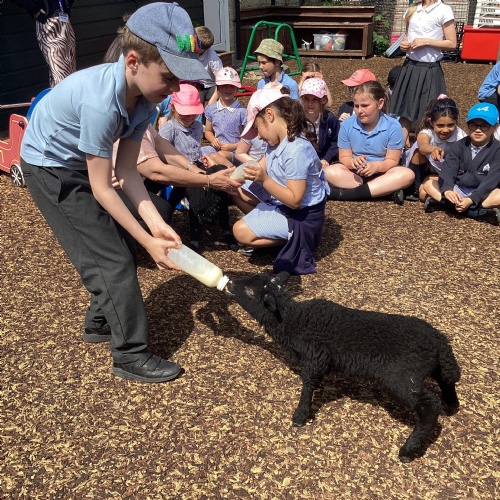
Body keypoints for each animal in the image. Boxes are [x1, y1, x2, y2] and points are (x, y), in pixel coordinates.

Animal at [225, 271, 461, 462]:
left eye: (249, 290)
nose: (229, 283)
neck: (292, 319)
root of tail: (438, 342)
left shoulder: (315, 358)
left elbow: (308, 385)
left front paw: (300, 415)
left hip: (402, 378)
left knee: (429, 406)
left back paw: (408, 450)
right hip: (432, 369)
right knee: (447, 381)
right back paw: (451, 405)